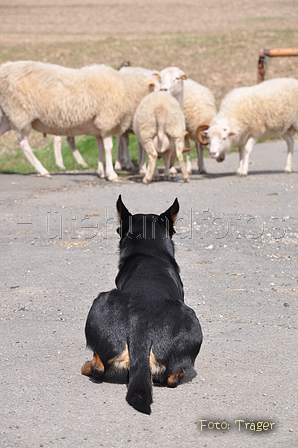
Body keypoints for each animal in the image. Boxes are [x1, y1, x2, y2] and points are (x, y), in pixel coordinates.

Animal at [0, 60, 159, 178]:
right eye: (160, 88)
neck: (127, 89)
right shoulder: (106, 120)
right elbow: (108, 147)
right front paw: (111, 174)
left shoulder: (98, 127)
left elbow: (100, 147)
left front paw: (101, 172)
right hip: (20, 113)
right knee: (23, 144)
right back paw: (43, 170)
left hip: (7, 115)